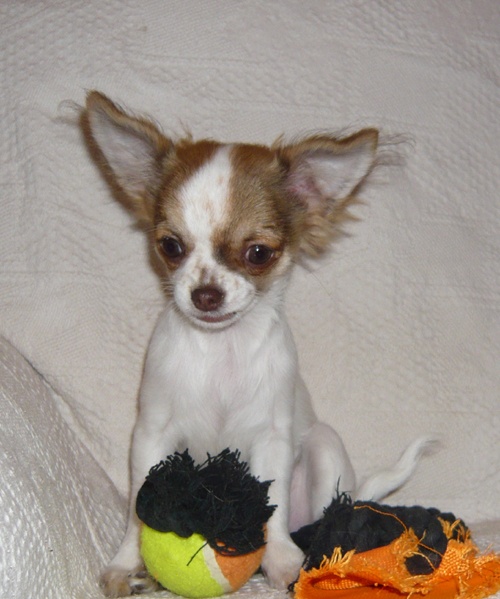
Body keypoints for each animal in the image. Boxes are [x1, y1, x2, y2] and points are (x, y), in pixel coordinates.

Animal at [82, 92, 430, 597]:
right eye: (170, 246)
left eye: (258, 254)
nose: (205, 294)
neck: (222, 351)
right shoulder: (151, 436)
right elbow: (136, 508)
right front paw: (128, 563)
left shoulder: (272, 439)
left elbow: (275, 500)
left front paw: (281, 558)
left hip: (324, 446)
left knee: (327, 512)